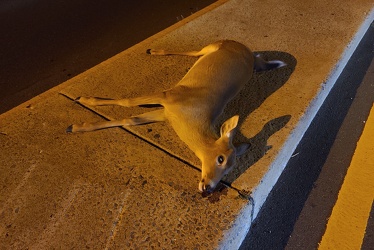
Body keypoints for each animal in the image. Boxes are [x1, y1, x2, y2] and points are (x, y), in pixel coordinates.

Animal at [65, 40, 284, 194]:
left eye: (230, 170)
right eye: (220, 158)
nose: (209, 188)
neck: (191, 116)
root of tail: (247, 51)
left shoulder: (166, 113)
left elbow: (131, 120)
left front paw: (75, 126)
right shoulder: (168, 95)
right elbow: (128, 102)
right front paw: (85, 101)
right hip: (213, 46)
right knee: (194, 52)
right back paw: (152, 51)